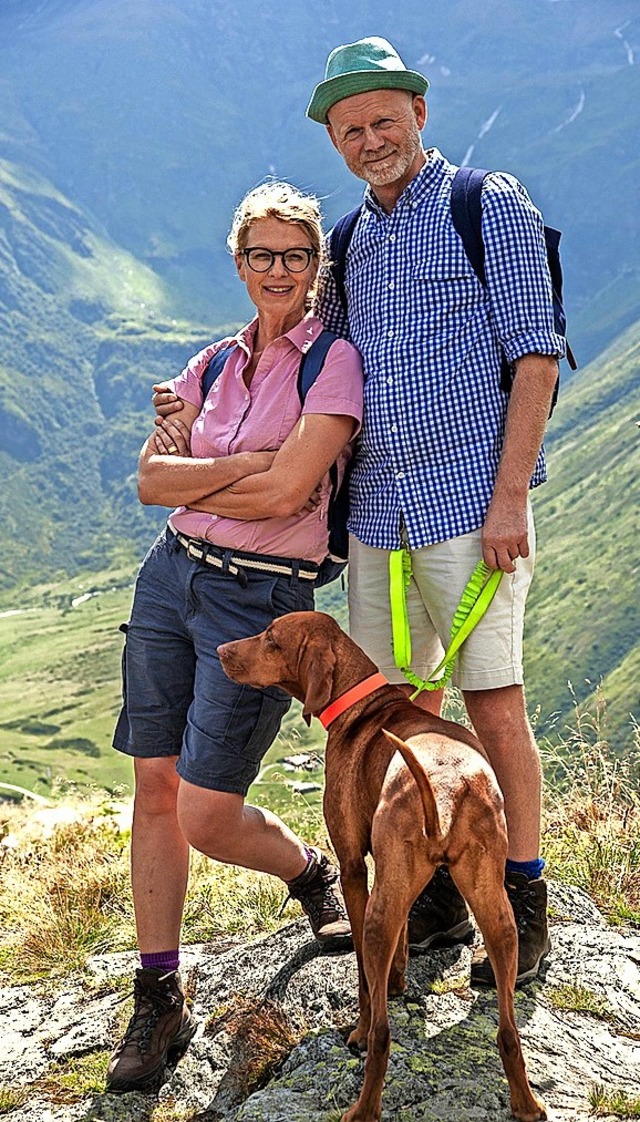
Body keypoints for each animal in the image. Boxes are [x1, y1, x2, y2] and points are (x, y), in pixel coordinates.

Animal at [216, 614, 545, 1122]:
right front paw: (400, 981)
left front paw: (360, 1023)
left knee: (384, 1037)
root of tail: (445, 787)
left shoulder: (354, 868)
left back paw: (363, 1103)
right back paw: (527, 1104)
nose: (220, 651)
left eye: (271, 639)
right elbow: (403, 943)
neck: (362, 705)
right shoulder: (399, 883)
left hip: (377, 916)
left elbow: (364, 980)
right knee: (508, 1031)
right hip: (494, 913)